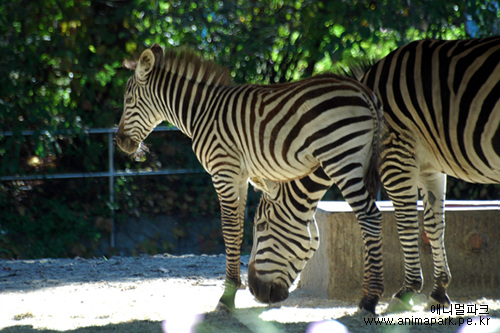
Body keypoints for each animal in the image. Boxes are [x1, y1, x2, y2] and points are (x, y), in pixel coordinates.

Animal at [115, 44, 384, 314]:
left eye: (128, 101)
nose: (119, 142)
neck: (200, 111)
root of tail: (364, 92)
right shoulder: (241, 175)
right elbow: (238, 227)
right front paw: (235, 287)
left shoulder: (223, 169)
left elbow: (229, 228)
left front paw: (227, 296)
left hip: (341, 159)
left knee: (370, 217)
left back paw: (369, 300)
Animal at [360, 37, 500, 312]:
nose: (367, 301)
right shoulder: (430, 168)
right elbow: (435, 226)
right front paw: (439, 292)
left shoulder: (396, 157)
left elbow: (406, 224)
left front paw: (406, 291)